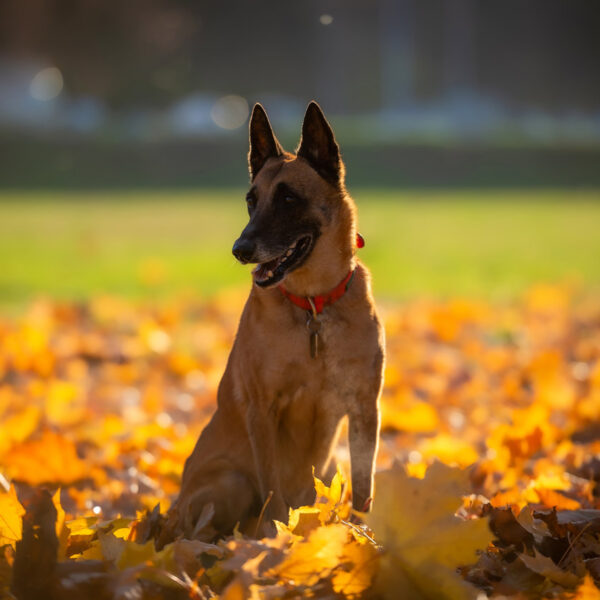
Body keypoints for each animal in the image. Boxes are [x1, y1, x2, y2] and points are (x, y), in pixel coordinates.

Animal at [159, 101, 384, 540]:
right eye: (251, 200)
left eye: (289, 198)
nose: (240, 249)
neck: (313, 306)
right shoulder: (262, 410)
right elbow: (273, 490)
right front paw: (278, 539)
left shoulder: (365, 407)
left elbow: (365, 489)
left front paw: (364, 539)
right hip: (230, 482)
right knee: (201, 531)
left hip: (329, 467)